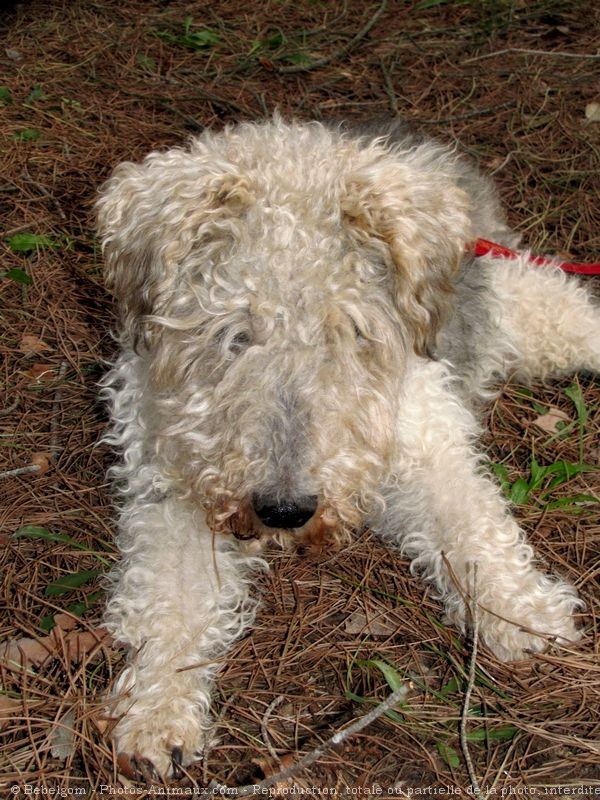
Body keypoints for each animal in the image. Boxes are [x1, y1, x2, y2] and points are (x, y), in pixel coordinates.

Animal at [96, 115, 596, 780]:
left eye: (351, 331)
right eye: (234, 334)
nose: (284, 510)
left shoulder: (424, 442)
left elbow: (475, 527)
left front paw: (522, 613)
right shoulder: (172, 485)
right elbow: (168, 601)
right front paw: (158, 709)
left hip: (530, 310)